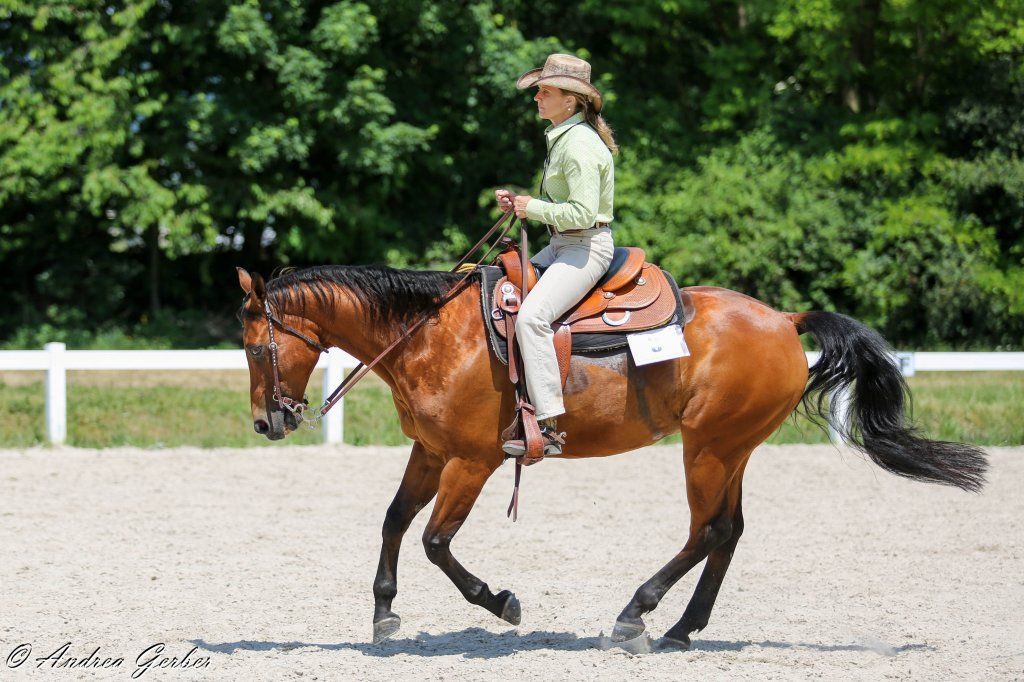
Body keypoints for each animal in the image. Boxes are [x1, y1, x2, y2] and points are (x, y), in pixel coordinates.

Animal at [235, 263, 987, 648]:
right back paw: (682, 628)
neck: (431, 335)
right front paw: (384, 613)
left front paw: (500, 602)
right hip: (731, 449)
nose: (268, 421)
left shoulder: (473, 460)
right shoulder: (430, 449)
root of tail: (784, 319)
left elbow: (436, 541)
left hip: (708, 449)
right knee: (729, 532)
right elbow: (394, 521)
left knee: (707, 529)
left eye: (254, 346)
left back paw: (636, 613)